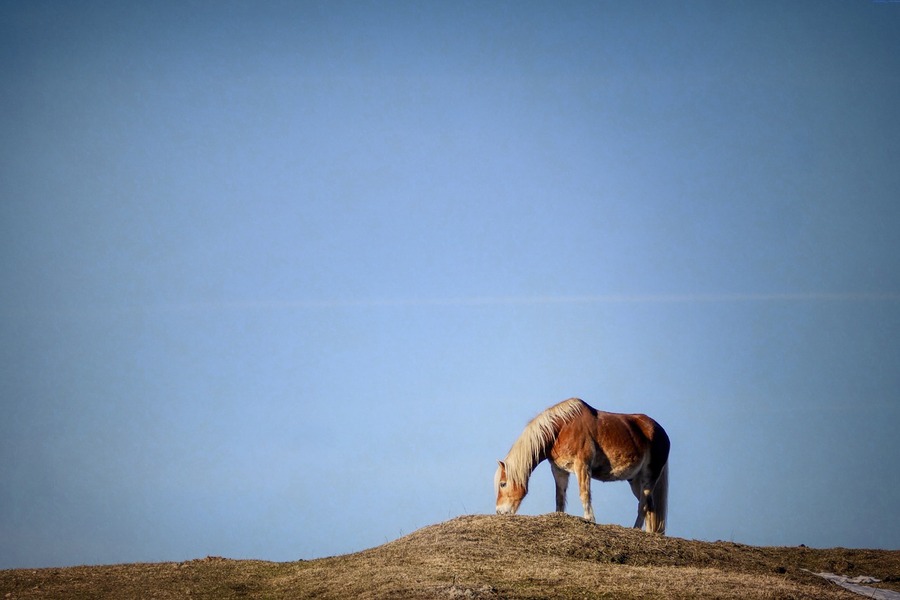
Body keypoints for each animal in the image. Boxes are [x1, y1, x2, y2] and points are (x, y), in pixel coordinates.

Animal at [494, 397, 670, 534]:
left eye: (503, 484)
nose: (499, 512)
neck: (561, 429)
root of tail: (661, 432)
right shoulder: (559, 470)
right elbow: (559, 497)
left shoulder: (582, 466)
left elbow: (584, 494)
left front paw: (590, 519)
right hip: (635, 480)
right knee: (649, 507)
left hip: (649, 476)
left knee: (643, 505)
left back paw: (635, 529)